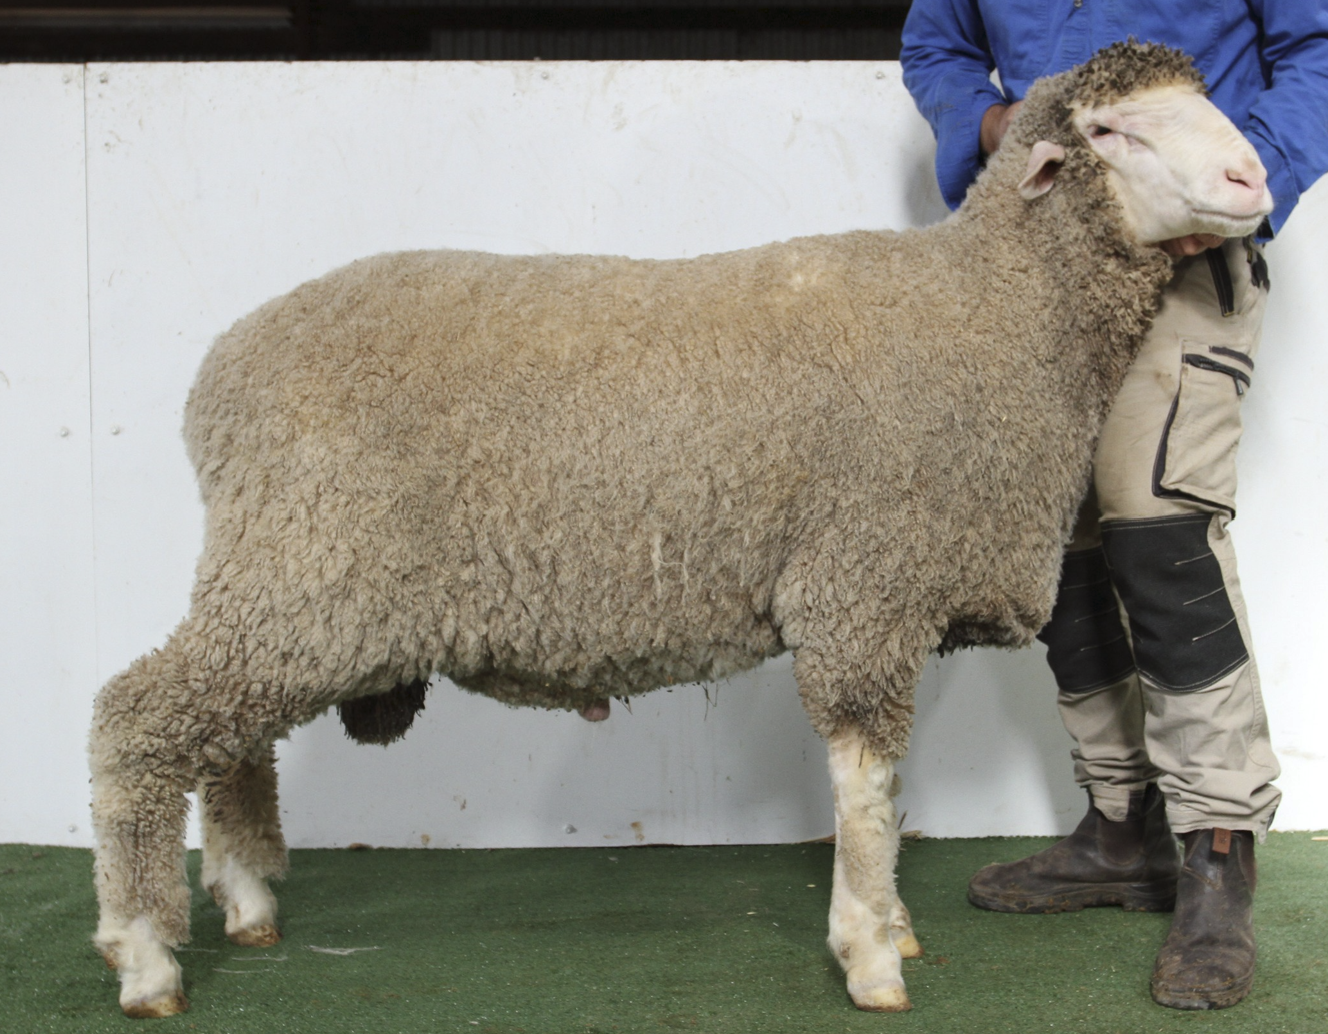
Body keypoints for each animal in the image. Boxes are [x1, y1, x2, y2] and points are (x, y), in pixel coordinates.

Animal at [87, 42, 1273, 1018]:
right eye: (1111, 131)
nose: (1251, 180)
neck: (996, 315)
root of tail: (221, 372)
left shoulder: (893, 592)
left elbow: (884, 793)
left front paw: (889, 927)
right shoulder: (861, 585)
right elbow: (866, 784)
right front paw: (869, 954)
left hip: (288, 581)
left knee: (231, 736)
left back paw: (245, 900)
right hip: (309, 567)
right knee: (138, 719)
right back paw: (144, 952)